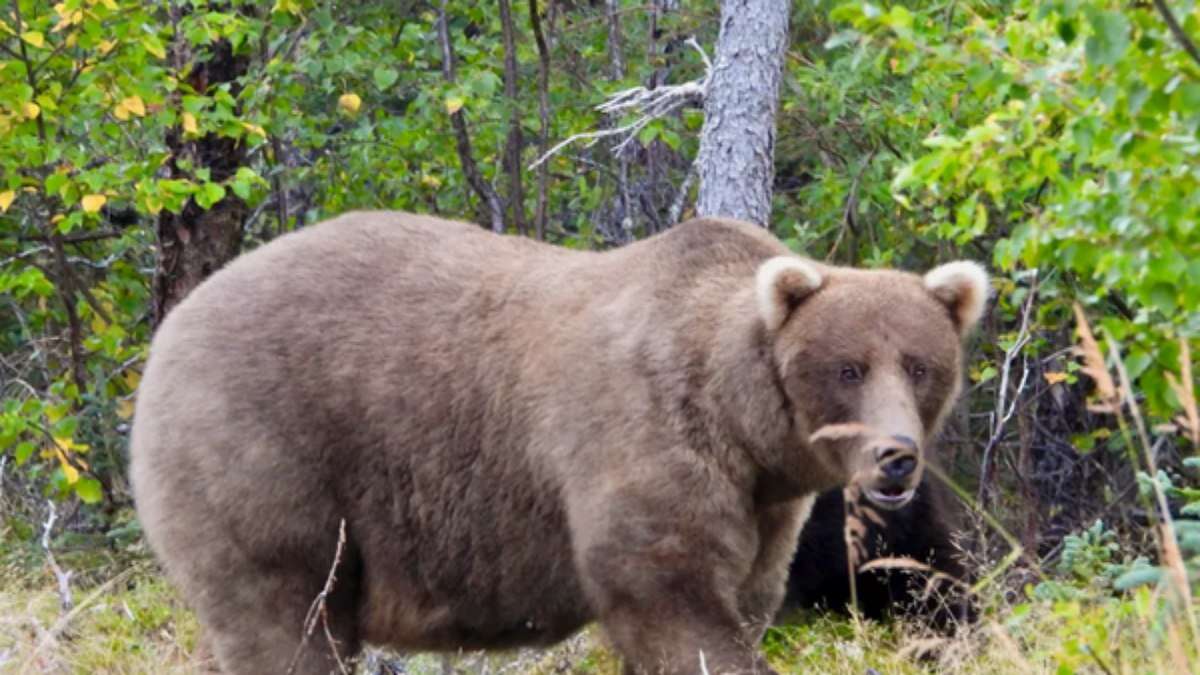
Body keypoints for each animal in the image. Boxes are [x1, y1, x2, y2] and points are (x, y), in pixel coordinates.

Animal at [131, 211, 988, 672]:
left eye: (920, 365)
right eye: (847, 367)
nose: (895, 457)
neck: (743, 426)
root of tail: (170, 328)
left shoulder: (768, 508)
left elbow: (758, 591)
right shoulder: (643, 439)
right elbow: (670, 593)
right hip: (268, 455)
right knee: (288, 616)